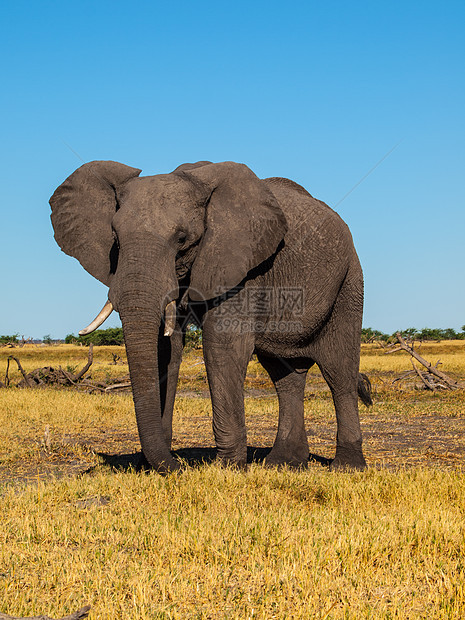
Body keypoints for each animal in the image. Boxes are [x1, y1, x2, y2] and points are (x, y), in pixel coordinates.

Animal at [49, 159, 370, 470]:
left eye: (181, 238)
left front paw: (226, 468)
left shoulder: (241, 266)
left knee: (338, 371)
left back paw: (347, 467)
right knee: (285, 376)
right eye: (115, 238)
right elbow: (166, 349)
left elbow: (223, 346)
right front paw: (150, 465)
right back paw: (283, 463)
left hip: (349, 282)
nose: (178, 466)